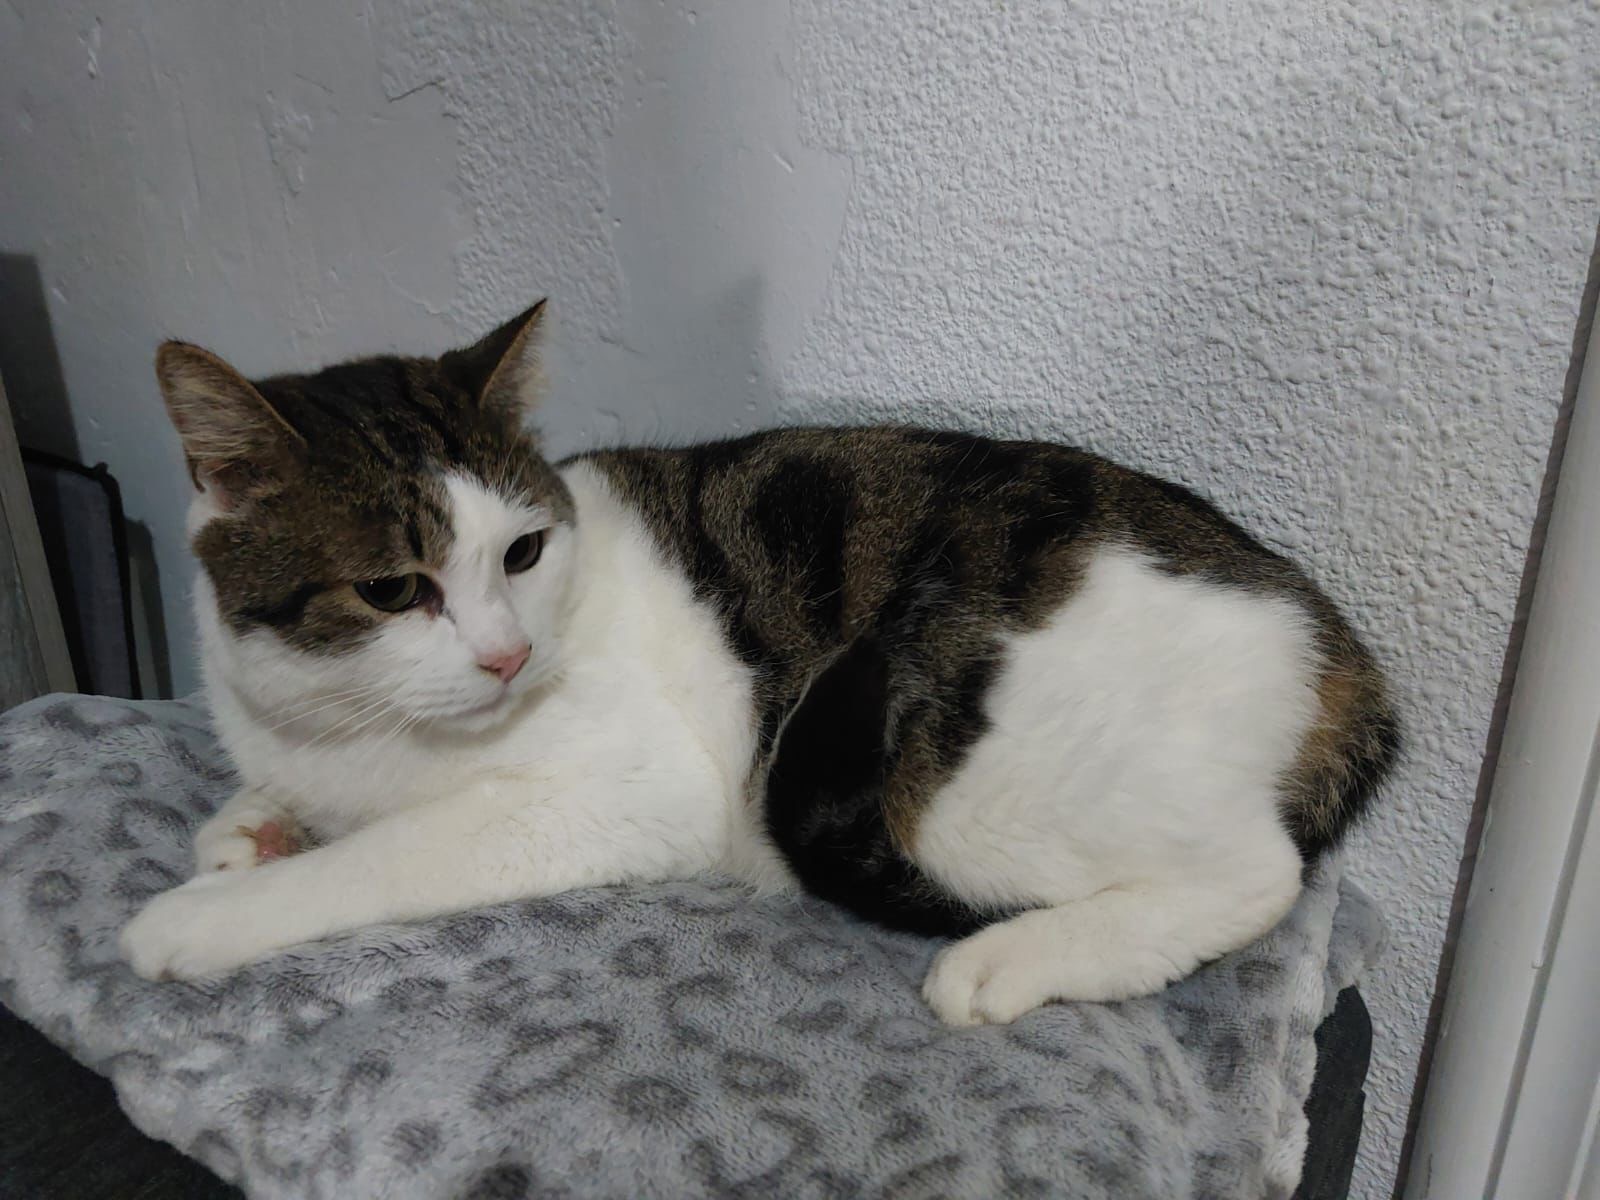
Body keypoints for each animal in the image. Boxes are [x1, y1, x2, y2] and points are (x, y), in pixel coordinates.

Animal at [119, 301, 1398, 1025]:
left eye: (521, 552)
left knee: (1258, 877)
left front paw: (204, 913)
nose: (507, 655)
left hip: (953, 781)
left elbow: (376, 860)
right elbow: (269, 801)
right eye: (395, 589)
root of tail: (1336, 647)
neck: (355, 730)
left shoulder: (625, 788)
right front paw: (248, 825)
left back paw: (1011, 961)